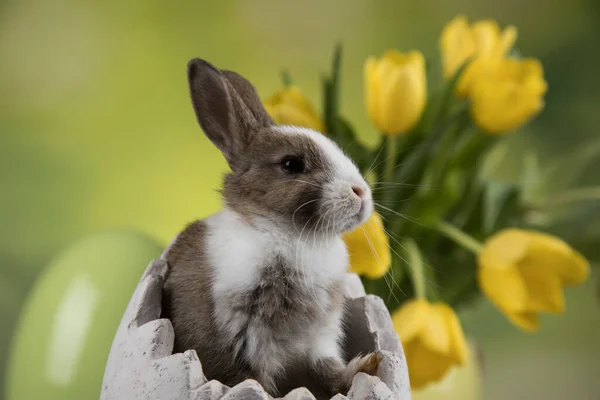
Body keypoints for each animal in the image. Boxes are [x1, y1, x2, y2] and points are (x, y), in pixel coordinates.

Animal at [161, 57, 380, 398]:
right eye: (292, 164)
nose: (361, 192)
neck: (291, 236)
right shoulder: (229, 338)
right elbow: (247, 381)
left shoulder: (322, 337)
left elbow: (328, 371)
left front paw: (367, 365)